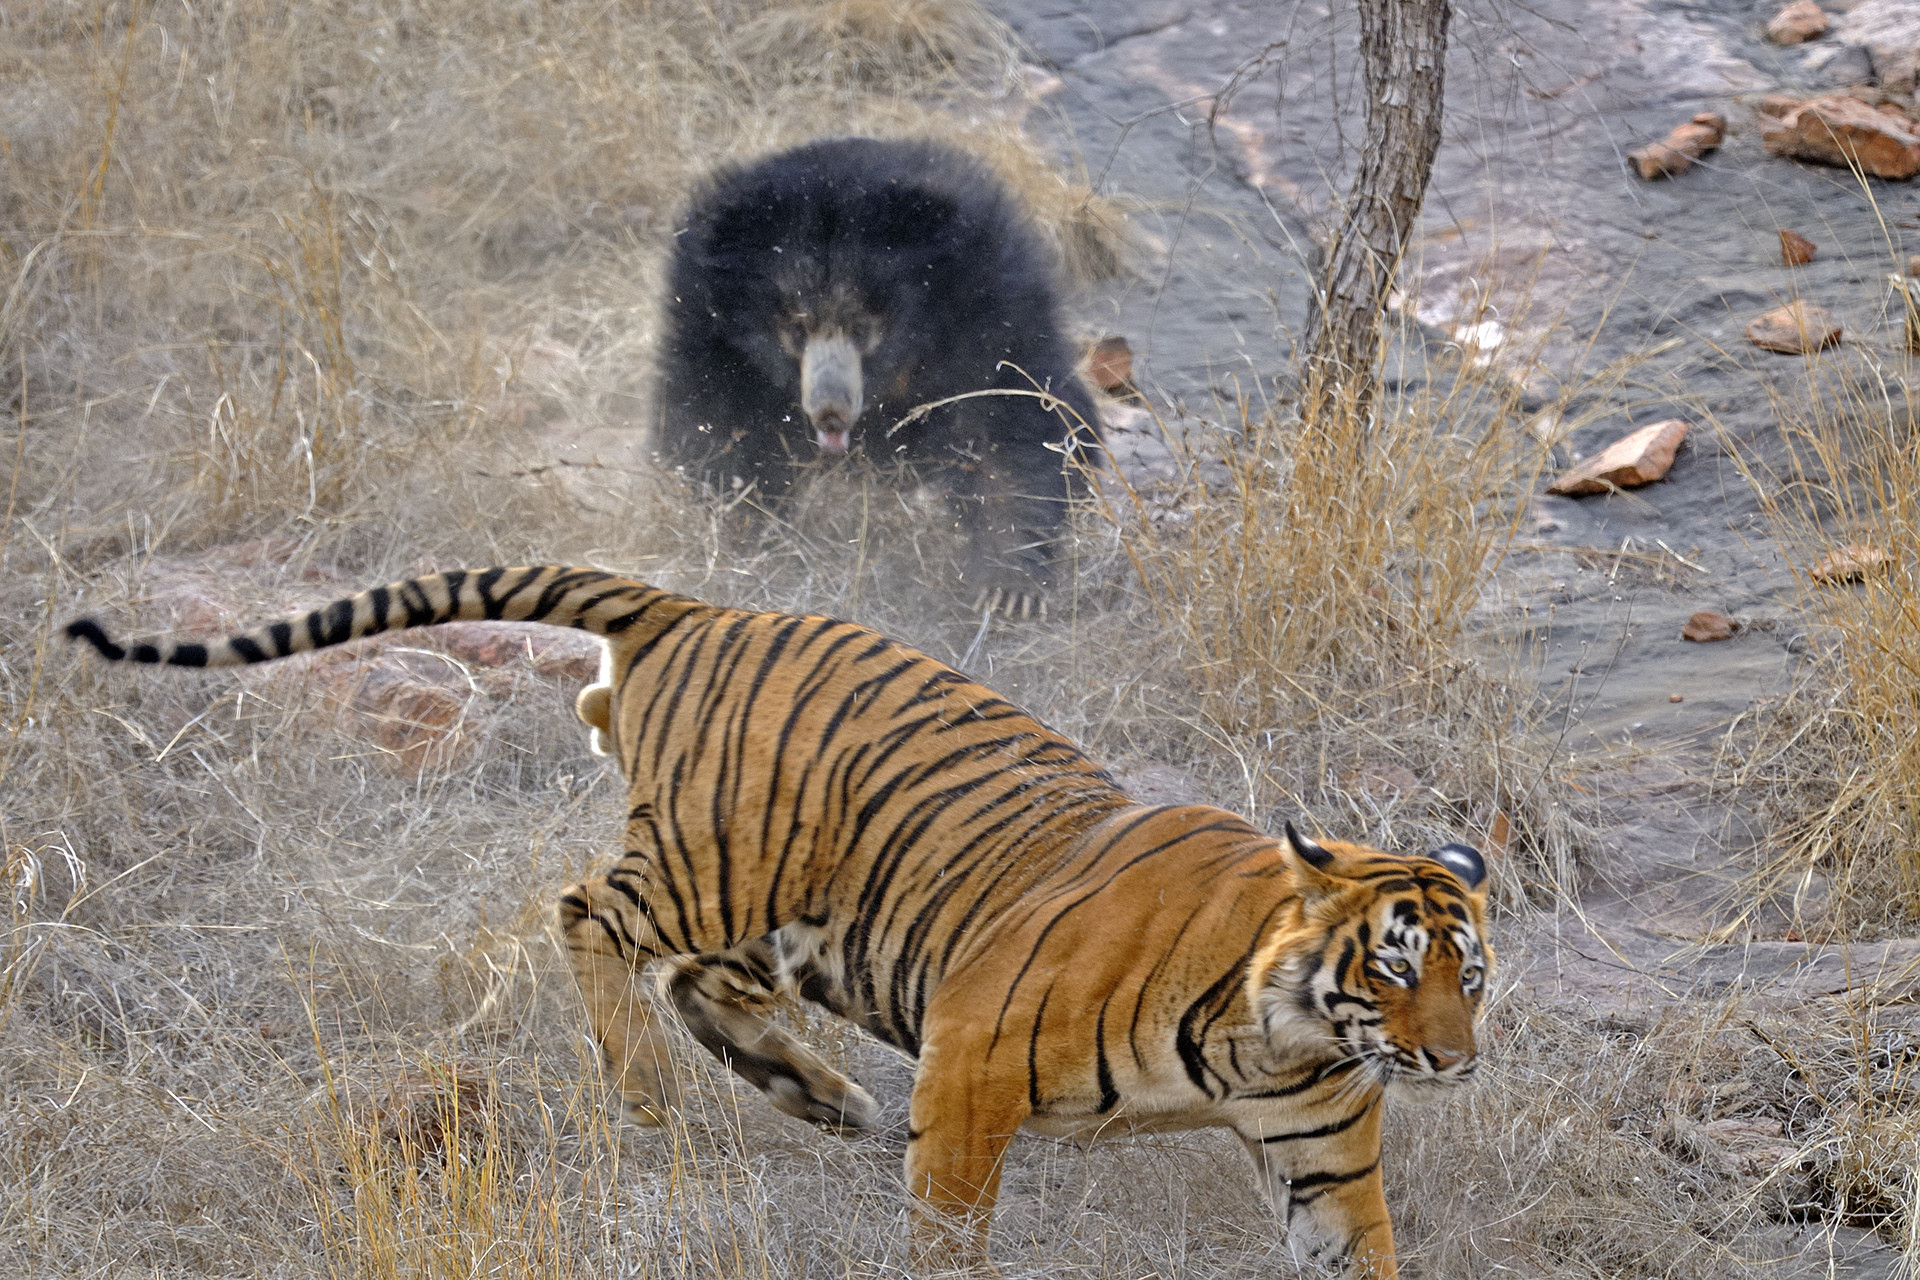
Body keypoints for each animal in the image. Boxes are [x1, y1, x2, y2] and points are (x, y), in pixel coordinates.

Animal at [66, 564, 1492, 1277]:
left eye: (1470, 975)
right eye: (1394, 965)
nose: (1454, 1059)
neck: (1283, 1030)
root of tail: (698, 606)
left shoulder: (1322, 1154)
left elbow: (1358, 1254)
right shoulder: (971, 1064)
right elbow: (947, 1227)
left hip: (802, 913)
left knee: (704, 980)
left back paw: (818, 1094)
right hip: (726, 859)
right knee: (588, 913)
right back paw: (653, 1091)